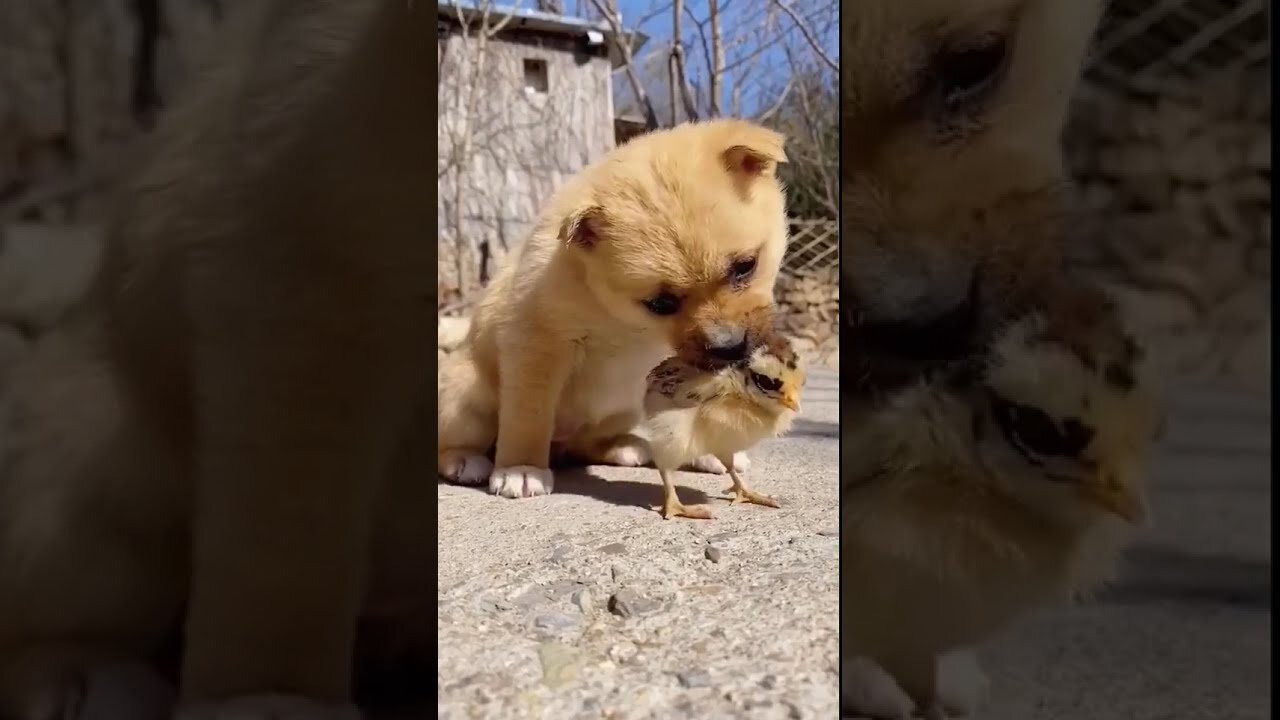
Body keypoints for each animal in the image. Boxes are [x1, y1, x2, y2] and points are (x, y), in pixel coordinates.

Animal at [440, 119, 788, 499]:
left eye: (745, 267)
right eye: (661, 303)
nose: (730, 347)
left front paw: (712, 449)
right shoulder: (536, 343)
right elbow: (529, 415)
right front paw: (522, 468)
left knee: (584, 445)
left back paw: (626, 446)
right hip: (467, 397)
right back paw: (465, 460)